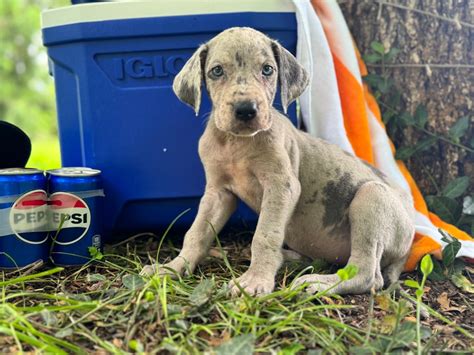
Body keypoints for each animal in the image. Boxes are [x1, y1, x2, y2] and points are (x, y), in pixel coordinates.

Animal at [141, 26, 414, 296]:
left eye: (267, 69)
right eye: (216, 71)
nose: (246, 110)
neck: (236, 143)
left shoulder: (281, 186)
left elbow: (264, 234)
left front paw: (254, 280)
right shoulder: (218, 193)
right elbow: (196, 233)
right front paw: (173, 267)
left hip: (372, 196)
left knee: (367, 274)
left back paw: (317, 283)